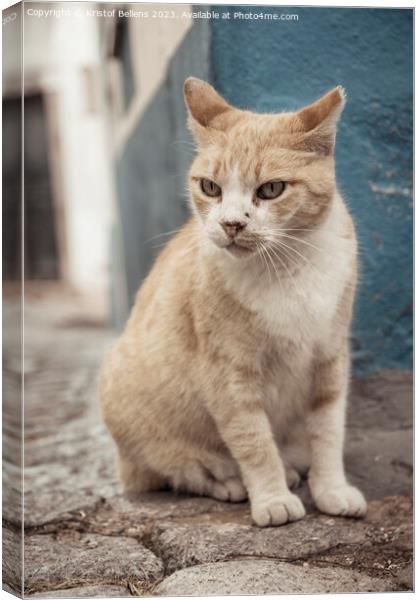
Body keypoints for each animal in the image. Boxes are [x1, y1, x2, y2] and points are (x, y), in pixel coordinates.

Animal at [97, 77, 364, 528]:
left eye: (271, 189)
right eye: (210, 187)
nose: (231, 223)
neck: (286, 268)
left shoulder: (330, 357)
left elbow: (328, 432)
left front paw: (331, 490)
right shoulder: (228, 373)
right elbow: (253, 441)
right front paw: (272, 499)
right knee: (177, 469)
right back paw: (229, 479)